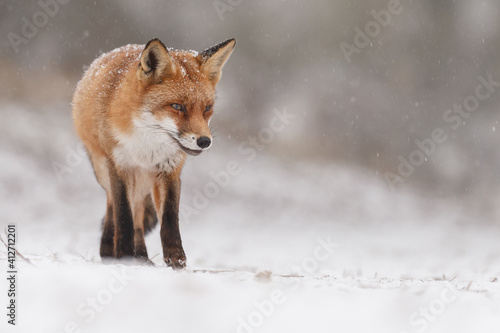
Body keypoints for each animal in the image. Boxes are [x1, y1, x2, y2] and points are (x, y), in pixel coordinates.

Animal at [72, 38, 236, 268]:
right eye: (177, 106)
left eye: (207, 108)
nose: (204, 141)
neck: (146, 145)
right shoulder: (119, 166)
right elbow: (123, 215)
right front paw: (123, 255)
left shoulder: (169, 170)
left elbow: (168, 218)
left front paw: (176, 258)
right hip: (104, 169)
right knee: (114, 205)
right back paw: (109, 250)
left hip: (142, 181)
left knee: (139, 214)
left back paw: (141, 255)